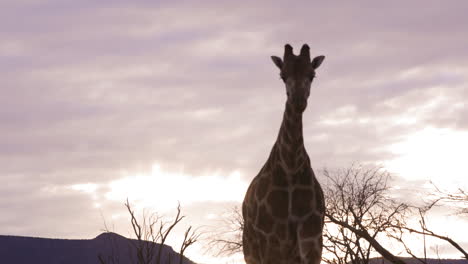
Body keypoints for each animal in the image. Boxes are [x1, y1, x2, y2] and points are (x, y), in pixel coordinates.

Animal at [241, 43, 326, 264]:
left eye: (312, 74)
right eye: (282, 75)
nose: (298, 101)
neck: (290, 168)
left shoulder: (312, 239)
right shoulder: (271, 241)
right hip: (251, 251)